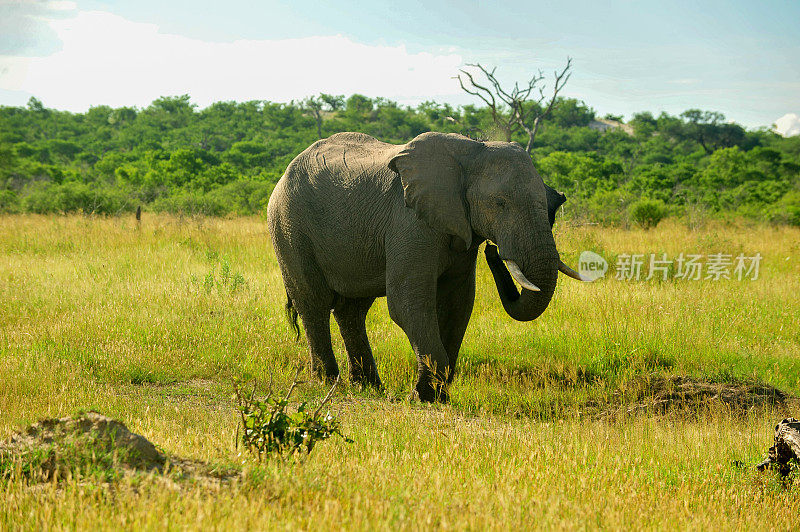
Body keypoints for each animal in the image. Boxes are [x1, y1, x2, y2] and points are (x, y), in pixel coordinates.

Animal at [268, 131, 588, 402]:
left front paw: (437, 398)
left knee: (352, 309)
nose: (493, 251)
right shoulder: (410, 221)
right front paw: (422, 398)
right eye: (499, 203)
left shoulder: (458, 232)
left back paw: (369, 388)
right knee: (314, 303)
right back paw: (326, 383)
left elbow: (458, 304)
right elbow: (407, 303)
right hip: (288, 225)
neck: (473, 150)